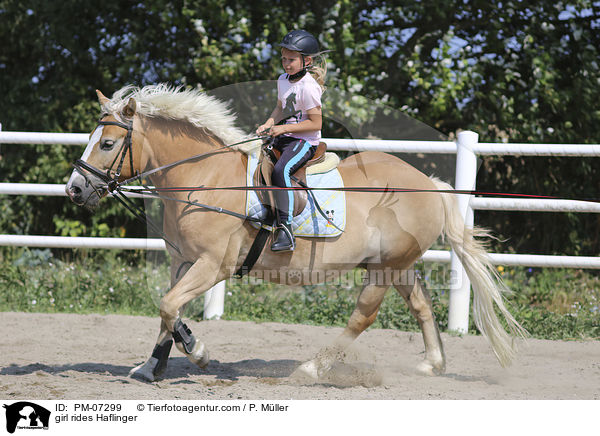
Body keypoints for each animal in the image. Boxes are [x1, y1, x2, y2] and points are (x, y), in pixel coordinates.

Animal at [67, 84, 524, 382]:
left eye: (107, 144)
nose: (75, 189)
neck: (203, 177)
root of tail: (428, 183)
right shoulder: (183, 261)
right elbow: (168, 310)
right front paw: (151, 366)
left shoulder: (213, 265)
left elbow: (168, 306)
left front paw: (197, 352)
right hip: (396, 265)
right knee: (422, 306)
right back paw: (432, 364)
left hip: (383, 270)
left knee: (363, 315)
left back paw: (311, 368)